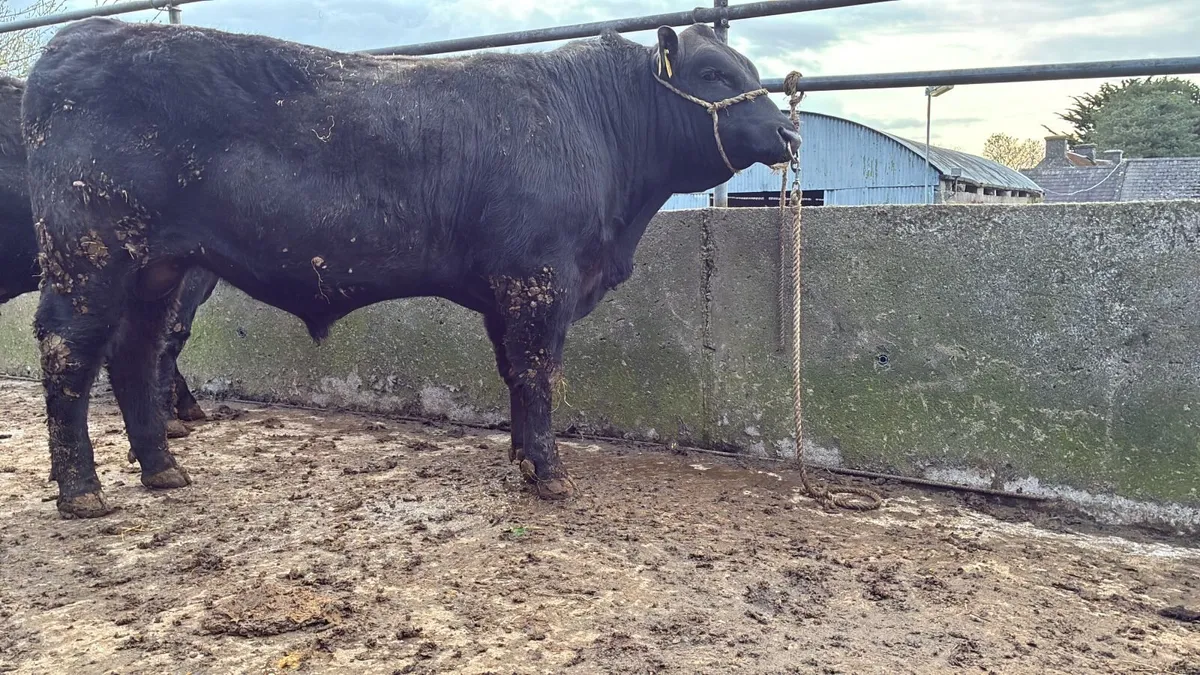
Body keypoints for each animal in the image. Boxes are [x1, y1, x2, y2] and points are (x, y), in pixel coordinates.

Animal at [24, 18, 800, 519]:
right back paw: (82, 492)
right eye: (714, 74)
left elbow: (515, 375)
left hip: (158, 267)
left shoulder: (509, 291)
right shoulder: (540, 280)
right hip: (90, 257)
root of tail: (70, 45)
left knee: (132, 353)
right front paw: (550, 475)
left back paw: (163, 469)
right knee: (69, 352)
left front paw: (521, 458)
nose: (790, 130)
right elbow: (539, 373)